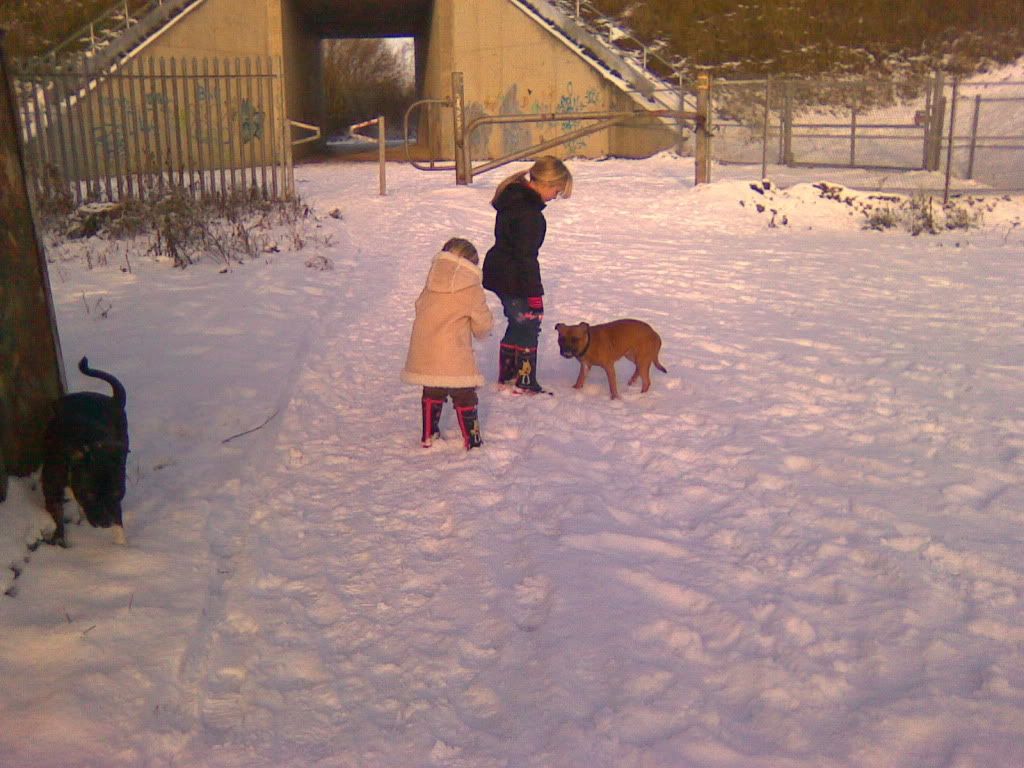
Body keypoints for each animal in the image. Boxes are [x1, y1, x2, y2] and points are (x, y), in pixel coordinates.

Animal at [40, 356, 128, 548]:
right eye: (90, 494)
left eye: (118, 493)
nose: (106, 522)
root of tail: (112, 399)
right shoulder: (51, 489)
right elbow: (57, 517)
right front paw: (59, 540)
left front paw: (122, 547)